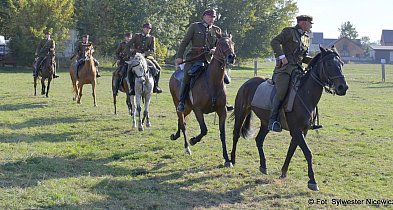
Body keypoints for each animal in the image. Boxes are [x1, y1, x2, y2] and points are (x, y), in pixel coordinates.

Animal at [168, 34, 236, 166]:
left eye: (232, 43)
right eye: (220, 44)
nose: (231, 57)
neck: (212, 82)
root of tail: (175, 74)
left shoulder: (222, 111)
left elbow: (223, 134)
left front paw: (227, 159)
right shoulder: (198, 110)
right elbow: (204, 130)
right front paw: (193, 140)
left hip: (187, 108)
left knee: (181, 121)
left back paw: (176, 136)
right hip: (178, 105)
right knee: (183, 123)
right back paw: (187, 147)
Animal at [231, 46, 348, 191]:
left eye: (341, 64)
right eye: (329, 64)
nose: (343, 87)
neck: (304, 94)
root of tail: (247, 83)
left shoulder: (302, 131)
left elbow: (291, 150)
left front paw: (283, 172)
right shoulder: (296, 130)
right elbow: (307, 152)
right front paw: (312, 181)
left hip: (265, 122)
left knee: (259, 140)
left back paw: (263, 166)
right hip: (241, 112)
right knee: (236, 134)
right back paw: (231, 160)